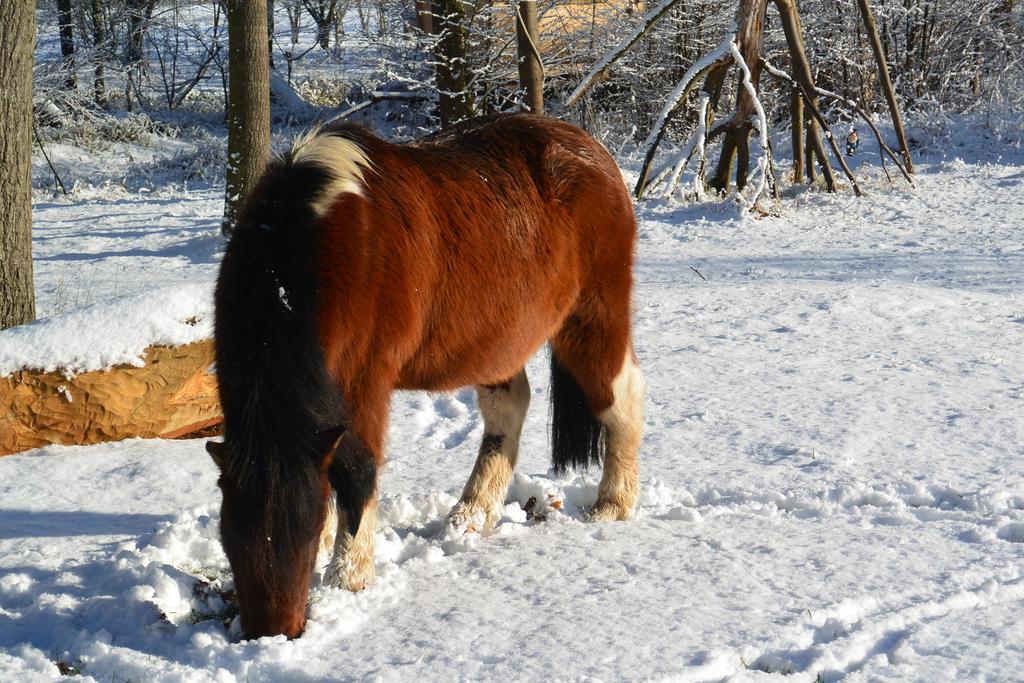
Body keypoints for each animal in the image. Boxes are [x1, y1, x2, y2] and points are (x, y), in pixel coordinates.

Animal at [203, 113, 643, 643]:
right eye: (229, 535)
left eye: (302, 536)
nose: (270, 634)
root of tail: (595, 154)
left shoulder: (365, 383)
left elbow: (356, 470)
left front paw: (348, 578)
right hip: (497, 342)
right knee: (508, 410)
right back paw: (470, 515)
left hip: (592, 319)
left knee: (622, 399)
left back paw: (613, 504)